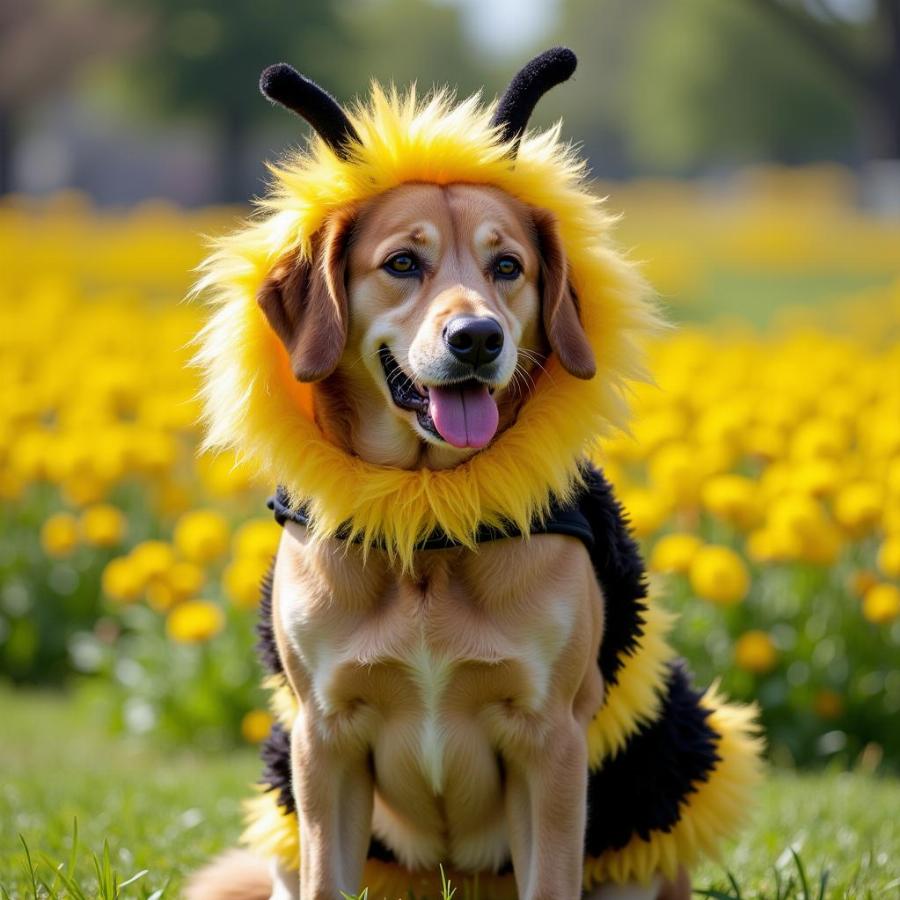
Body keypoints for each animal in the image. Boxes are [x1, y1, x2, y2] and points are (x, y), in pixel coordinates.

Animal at [186, 49, 764, 900]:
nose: (478, 337)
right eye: (402, 263)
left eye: (507, 266)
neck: (428, 515)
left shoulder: (548, 743)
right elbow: (330, 875)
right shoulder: (324, 743)